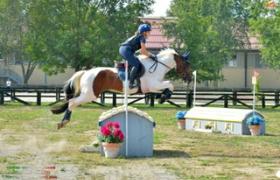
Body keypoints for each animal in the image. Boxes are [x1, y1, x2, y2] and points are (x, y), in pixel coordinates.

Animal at [51, 48, 191, 129]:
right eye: (186, 65)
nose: (189, 79)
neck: (158, 66)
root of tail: (86, 72)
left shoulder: (151, 87)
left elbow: (167, 87)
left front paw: (161, 97)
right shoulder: (153, 84)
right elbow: (170, 84)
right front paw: (162, 97)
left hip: (87, 93)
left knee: (71, 101)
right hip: (89, 94)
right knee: (72, 102)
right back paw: (63, 122)